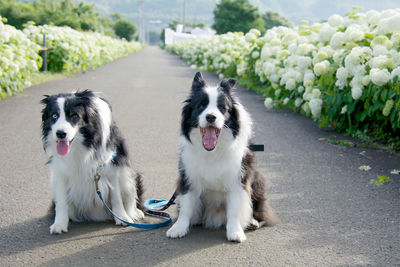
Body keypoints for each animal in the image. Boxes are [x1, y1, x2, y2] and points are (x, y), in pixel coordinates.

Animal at [40, 90, 144, 234]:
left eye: (74, 116)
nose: (60, 133)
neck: (84, 144)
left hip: (130, 177)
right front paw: (59, 224)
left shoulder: (111, 166)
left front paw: (122, 217)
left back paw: (136, 212)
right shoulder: (60, 172)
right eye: (54, 115)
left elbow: (116, 196)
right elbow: (61, 201)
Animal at [166, 72, 278, 244]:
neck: (212, 152)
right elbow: (185, 206)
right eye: (201, 106)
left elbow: (234, 209)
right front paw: (179, 228)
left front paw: (235, 232)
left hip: (257, 181)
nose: (211, 117)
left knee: (261, 212)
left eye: (222, 108)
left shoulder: (237, 179)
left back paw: (252, 222)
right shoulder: (188, 176)